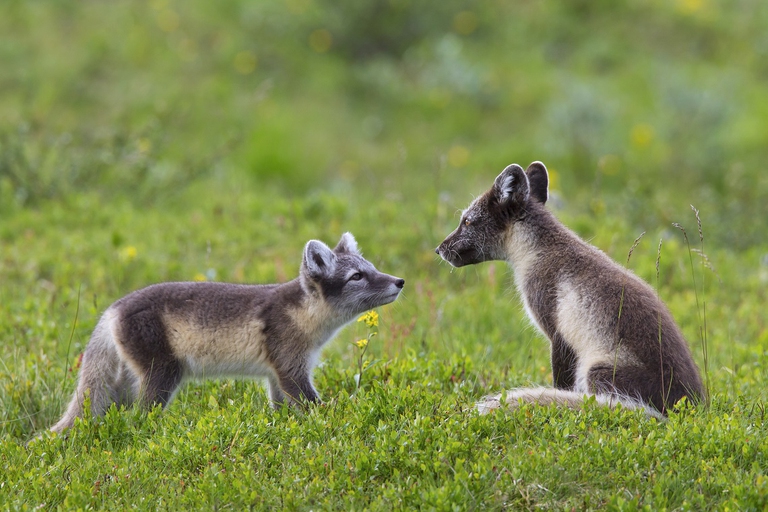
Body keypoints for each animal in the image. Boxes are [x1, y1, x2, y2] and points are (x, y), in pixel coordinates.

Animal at [50, 232, 404, 433]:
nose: (400, 281)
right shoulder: (291, 368)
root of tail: (113, 309)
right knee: (141, 416)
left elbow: (281, 409)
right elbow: (313, 404)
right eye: (357, 276)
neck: (304, 314)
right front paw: (334, 420)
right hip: (163, 373)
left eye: (371, 268)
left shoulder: (276, 374)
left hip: (125, 382)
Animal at [436, 162, 704, 418]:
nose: (439, 249)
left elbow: (560, 384)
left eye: (467, 221)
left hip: (596, 371)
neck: (540, 251)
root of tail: (692, 408)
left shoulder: (557, 334)